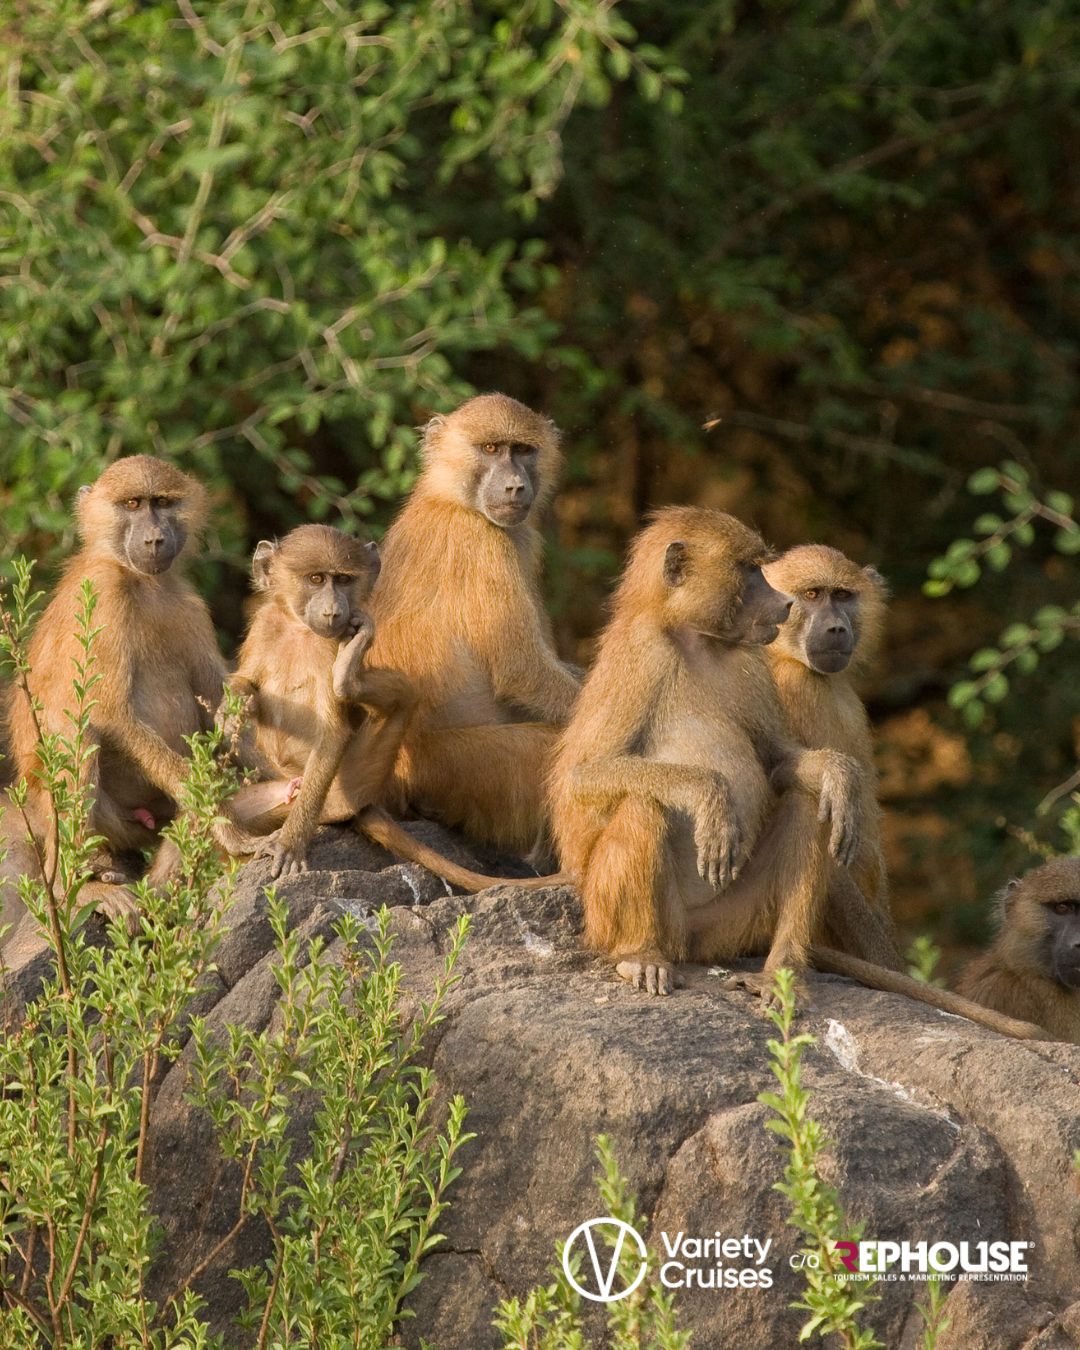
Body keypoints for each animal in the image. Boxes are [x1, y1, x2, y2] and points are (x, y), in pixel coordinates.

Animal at [2, 455, 264, 943]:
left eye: (161, 502)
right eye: (131, 504)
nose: (155, 539)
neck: (140, 581)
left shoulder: (187, 603)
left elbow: (221, 708)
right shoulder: (104, 596)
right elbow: (109, 714)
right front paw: (233, 831)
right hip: (90, 817)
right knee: (77, 735)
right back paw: (81, 891)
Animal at [223, 524, 571, 893]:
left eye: (343, 579)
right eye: (316, 578)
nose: (333, 612)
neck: (298, 628)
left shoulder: (328, 648)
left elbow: (333, 732)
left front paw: (291, 843)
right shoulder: (264, 625)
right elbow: (246, 682)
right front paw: (233, 709)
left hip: (355, 781)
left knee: (403, 697)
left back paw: (349, 684)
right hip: (277, 790)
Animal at [365, 393, 580, 857]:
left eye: (523, 449)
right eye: (491, 449)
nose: (515, 486)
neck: (452, 499)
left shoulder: (521, 539)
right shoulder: (482, 544)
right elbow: (523, 672)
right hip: (459, 772)